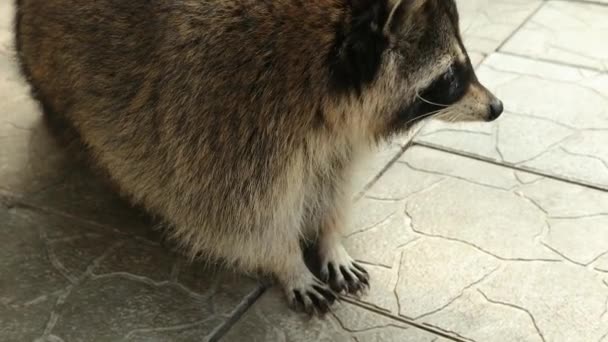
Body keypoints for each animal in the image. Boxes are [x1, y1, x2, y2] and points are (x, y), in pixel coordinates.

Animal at [15, 0, 504, 314]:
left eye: (462, 67)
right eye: (451, 76)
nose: (497, 107)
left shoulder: (333, 136)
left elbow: (332, 178)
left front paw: (330, 236)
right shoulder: (228, 115)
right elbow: (241, 214)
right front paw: (287, 262)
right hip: (57, 84)